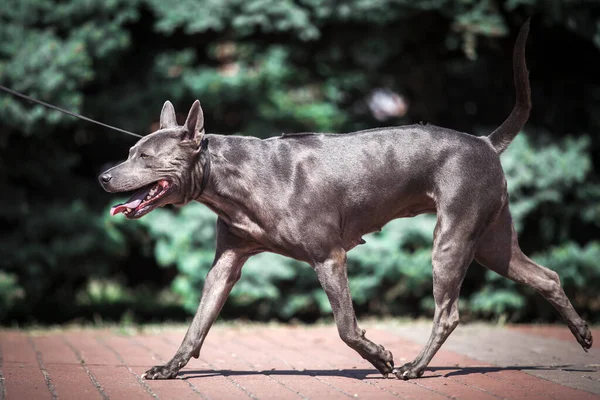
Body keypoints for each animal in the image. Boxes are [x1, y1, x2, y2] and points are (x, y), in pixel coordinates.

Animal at [98, 19, 592, 382]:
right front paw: (170, 367)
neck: (231, 181)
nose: (104, 177)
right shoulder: (226, 263)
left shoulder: (329, 257)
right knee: (547, 277)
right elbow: (198, 323)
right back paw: (584, 334)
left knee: (448, 313)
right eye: (129, 151)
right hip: (490, 241)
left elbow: (345, 326)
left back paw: (413, 367)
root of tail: (486, 143)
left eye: (144, 156)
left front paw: (381, 357)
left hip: (451, 238)